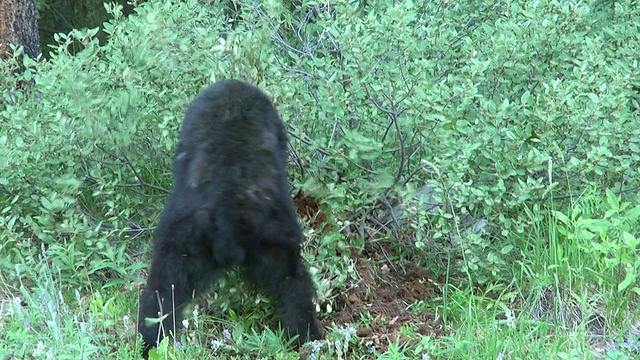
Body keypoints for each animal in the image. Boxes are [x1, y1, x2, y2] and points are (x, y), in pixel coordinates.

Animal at [138, 77, 322, 356]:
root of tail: (228, 214)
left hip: (185, 240)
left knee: (163, 291)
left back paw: (151, 341)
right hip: (272, 236)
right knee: (294, 282)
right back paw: (309, 336)